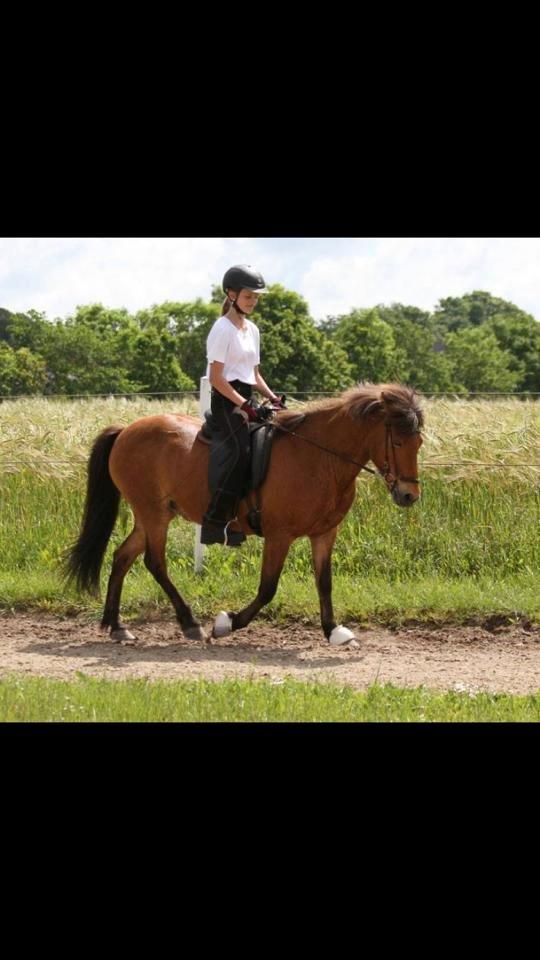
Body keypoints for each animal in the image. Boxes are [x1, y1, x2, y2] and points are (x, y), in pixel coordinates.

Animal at [65, 382, 424, 644]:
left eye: (418, 443)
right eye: (399, 442)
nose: (409, 495)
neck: (320, 459)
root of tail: (126, 430)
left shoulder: (324, 533)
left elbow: (324, 582)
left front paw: (333, 630)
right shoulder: (279, 535)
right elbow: (268, 588)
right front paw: (229, 622)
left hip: (155, 514)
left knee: (122, 557)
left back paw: (116, 626)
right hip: (153, 514)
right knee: (154, 563)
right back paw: (189, 623)